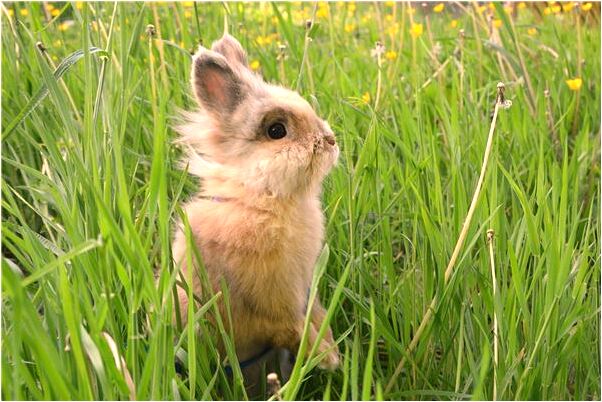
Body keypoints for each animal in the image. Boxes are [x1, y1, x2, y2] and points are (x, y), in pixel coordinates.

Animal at [172, 33, 338, 378]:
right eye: (277, 131)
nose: (330, 140)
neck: (264, 199)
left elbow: (314, 313)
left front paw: (331, 347)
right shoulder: (272, 309)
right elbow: (292, 329)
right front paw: (328, 357)